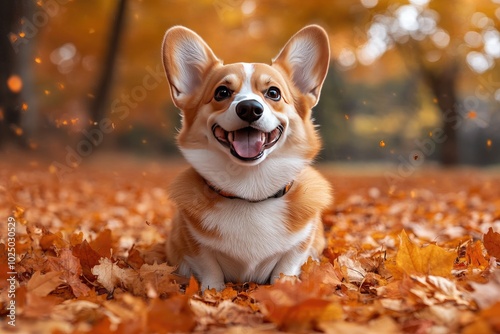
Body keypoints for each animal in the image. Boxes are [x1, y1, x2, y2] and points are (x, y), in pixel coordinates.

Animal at [161, 24, 332, 290]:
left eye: (273, 93)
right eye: (221, 92)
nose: (250, 108)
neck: (250, 192)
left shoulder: (302, 244)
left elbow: (287, 265)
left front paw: (285, 287)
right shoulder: (192, 242)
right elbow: (208, 266)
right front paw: (212, 291)